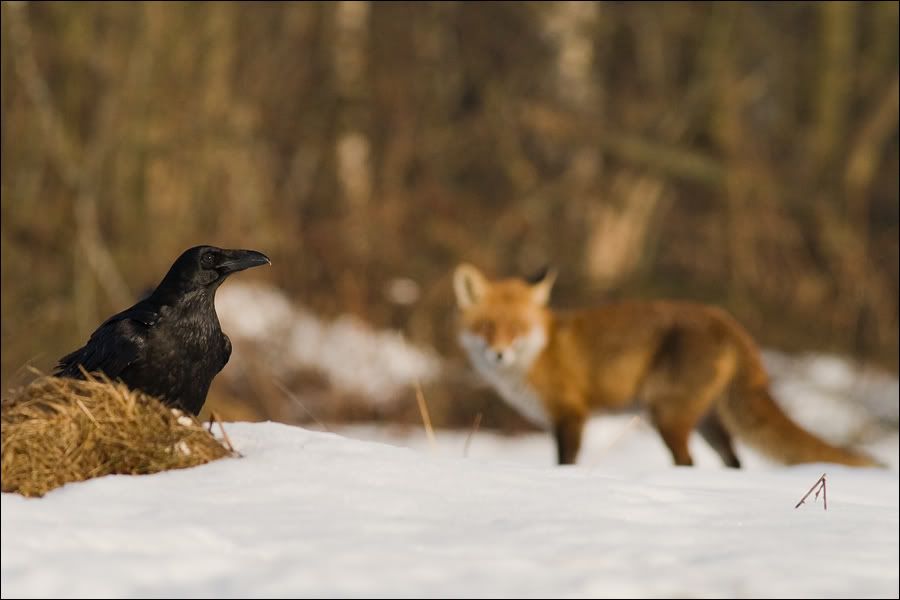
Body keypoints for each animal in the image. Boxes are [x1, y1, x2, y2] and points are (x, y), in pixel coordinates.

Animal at [454, 264, 876, 468]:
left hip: (668, 416)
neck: (539, 352)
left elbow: (565, 463)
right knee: (734, 462)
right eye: (487, 327)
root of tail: (725, 319)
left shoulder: (571, 414)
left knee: (688, 463)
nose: (498, 354)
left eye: (516, 328)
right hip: (706, 421)